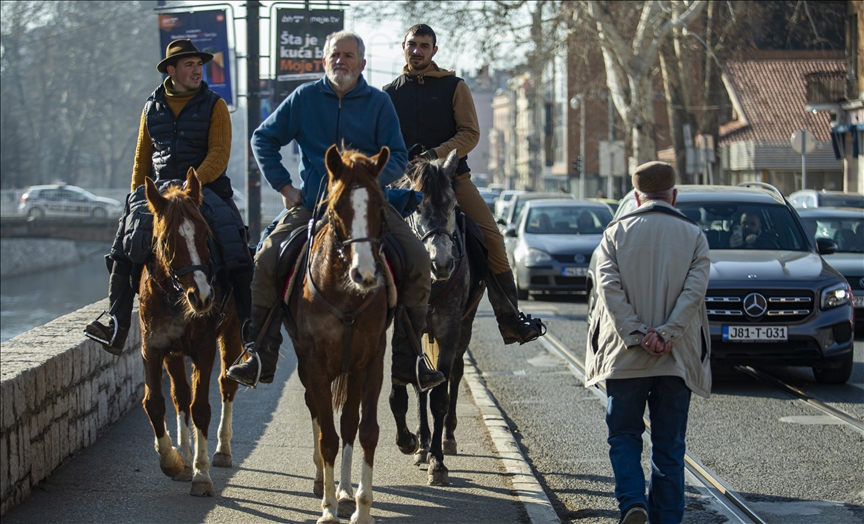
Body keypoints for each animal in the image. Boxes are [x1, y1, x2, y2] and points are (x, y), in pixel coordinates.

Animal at [138, 170, 241, 498]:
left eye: (204, 233)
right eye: (166, 240)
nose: (203, 296)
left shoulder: (204, 348)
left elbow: (201, 408)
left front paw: (201, 473)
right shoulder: (153, 347)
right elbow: (156, 402)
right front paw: (172, 459)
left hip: (231, 332)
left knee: (226, 384)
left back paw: (221, 449)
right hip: (173, 351)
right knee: (180, 395)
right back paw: (184, 453)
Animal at [286, 144, 390, 524]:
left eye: (379, 207)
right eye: (336, 209)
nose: (366, 274)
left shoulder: (372, 361)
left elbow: (366, 430)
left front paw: (361, 507)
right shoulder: (314, 363)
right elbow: (327, 436)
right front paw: (328, 509)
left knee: (347, 422)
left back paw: (344, 490)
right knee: (317, 413)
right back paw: (324, 483)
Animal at [390, 149, 486, 486]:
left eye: (454, 206)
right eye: (415, 206)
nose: (442, 263)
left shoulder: (450, 328)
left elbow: (441, 396)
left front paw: (438, 462)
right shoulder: (404, 327)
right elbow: (412, 387)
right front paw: (416, 444)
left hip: (465, 327)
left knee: (454, 374)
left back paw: (446, 438)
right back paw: (422, 443)